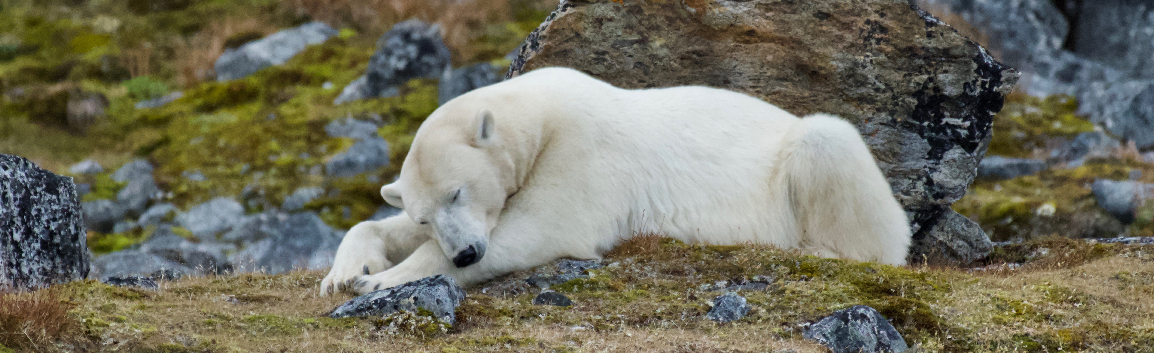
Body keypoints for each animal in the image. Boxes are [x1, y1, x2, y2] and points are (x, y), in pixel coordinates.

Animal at [320, 66, 913, 295]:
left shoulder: (583, 152)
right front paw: (346, 271)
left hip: (813, 161)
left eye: (457, 192)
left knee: (831, 149)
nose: (465, 252)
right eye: (426, 215)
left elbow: (543, 228)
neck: (540, 113)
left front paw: (379, 282)